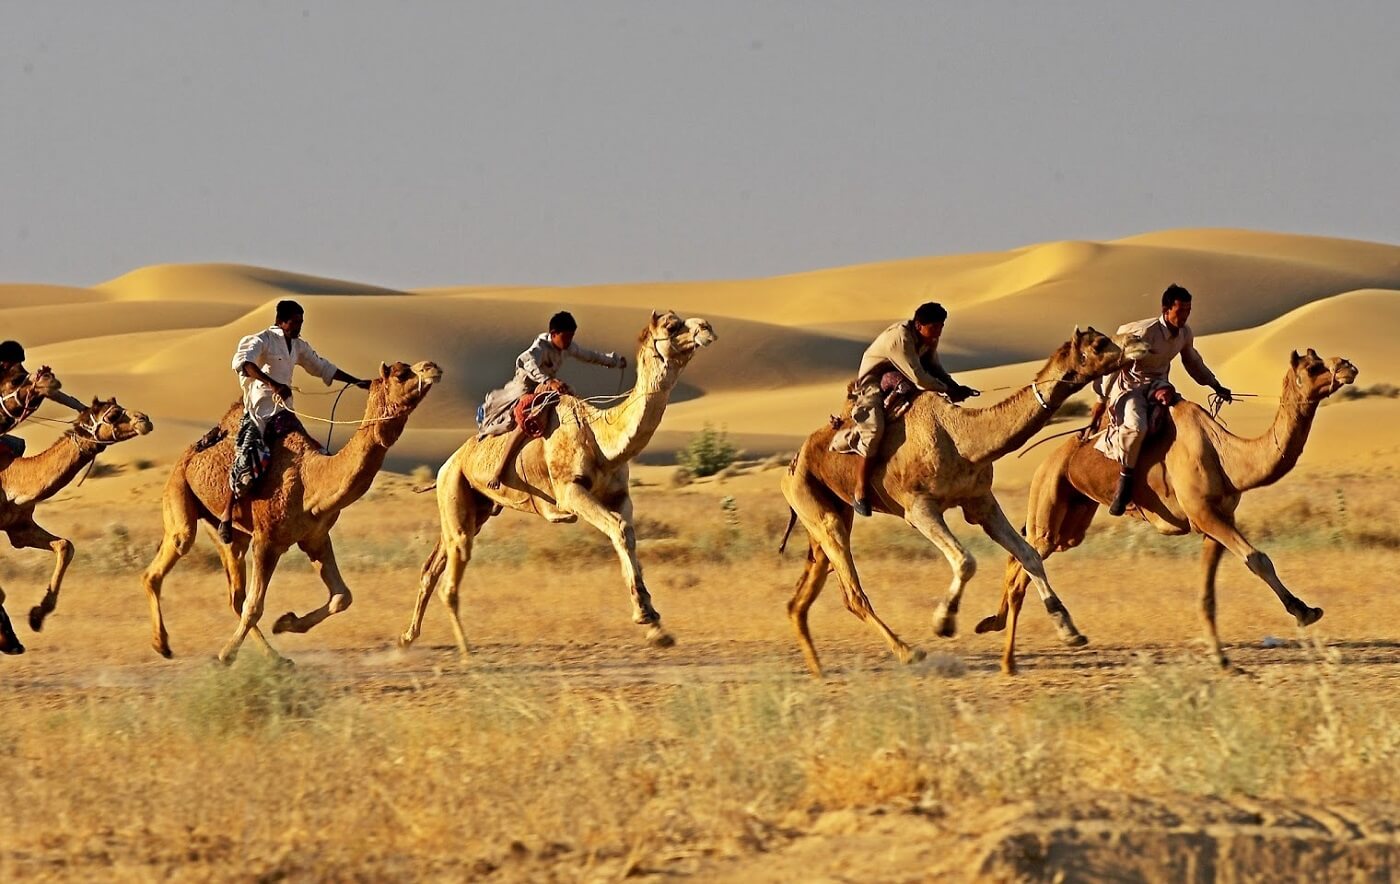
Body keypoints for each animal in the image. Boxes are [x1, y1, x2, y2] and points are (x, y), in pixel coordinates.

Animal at [0, 397, 154, 655]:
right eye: (113, 414)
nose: (145, 420)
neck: (12, 480)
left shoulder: (19, 527)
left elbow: (65, 545)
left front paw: (37, 616)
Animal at [142, 360, 442, 664]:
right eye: (401, 374)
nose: (432, 367)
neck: (312, 481)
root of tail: (189, 453)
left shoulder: (315, 537)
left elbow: (341, 596)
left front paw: (285, 623)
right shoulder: (267, 541)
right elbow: (255, 605)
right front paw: (225, 655)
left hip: (227, 531)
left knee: (235, 594)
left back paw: (274, 656)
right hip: (179, 491)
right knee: (169, 557)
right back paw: (162, 645)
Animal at [397, 310, 717, 653]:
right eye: (672, 325)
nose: (706, 328)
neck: (600, 438)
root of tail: (447, 465)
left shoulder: (620, 495)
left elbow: (627, 535)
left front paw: (658, 629)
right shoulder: (570, 491)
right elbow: (617, 529)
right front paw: (645, 616)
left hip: (476, 508)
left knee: (433, 564)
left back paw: (408, 636)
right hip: (454, 488)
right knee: (452, 562)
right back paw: (464, 648)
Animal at [780, 327, 1151, 677]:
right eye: (1100, 344)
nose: (1140, 343)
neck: (962, 438)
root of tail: (793, 462)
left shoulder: (980, 501)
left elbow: (1029, 555)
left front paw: (1069, 630)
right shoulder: (919, 508)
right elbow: (966, 561)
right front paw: (944, 622)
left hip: (829, 514)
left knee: (803, 595)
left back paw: (818, 669)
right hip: (815, 503)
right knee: (852, 593)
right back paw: (908, 652)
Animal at [978, 349, 1359, 673]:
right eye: (1313, 366)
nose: (1347, 365)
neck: (1227, 457)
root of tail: (1048, 461)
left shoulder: (1216, 521)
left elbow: (1208, 593)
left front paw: (1223, 660)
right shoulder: (1204, 514)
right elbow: (1258, 558)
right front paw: (1304, 611)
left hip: (1072, 522)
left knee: (1021, 557)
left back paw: (997, 632)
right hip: (1048, 498)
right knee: (1025, 563)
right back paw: (1021, 655)